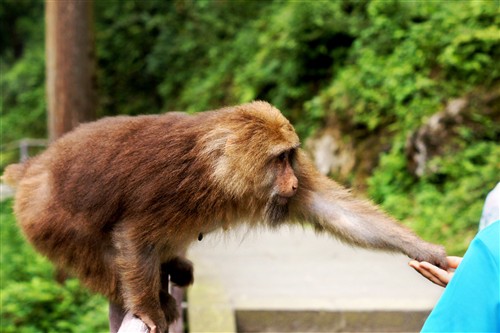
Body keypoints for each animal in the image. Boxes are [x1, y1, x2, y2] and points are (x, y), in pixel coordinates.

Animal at [3, 101, 448, 332]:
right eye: (279, 159)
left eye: (291, 157)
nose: (291, 180)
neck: (215, 170)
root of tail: (34, 167)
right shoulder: (168, 187)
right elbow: (132, 235)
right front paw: (148, 310)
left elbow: (335, 211)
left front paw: (425, 250)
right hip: (48, 223)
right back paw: (158, 296)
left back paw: (174, 265)